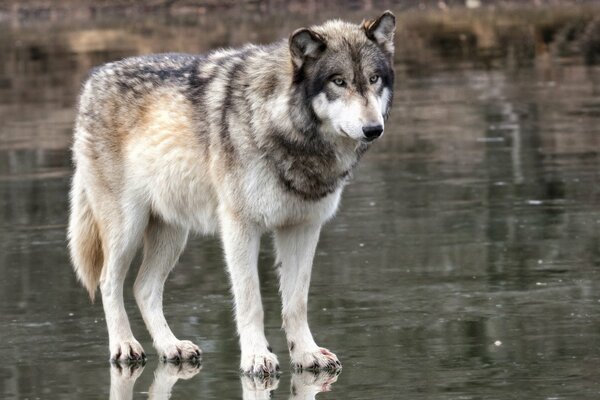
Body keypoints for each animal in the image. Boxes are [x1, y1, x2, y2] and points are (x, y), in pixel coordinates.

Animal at [68, 11, 396, 376]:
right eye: (339, 82)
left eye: (374, 79)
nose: (373, 129)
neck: (286, 129)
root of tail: (94, 78)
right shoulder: (240, 227)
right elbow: (251, 301)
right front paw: (256, 357)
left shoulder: (303, 228)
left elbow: (296, 302)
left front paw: (306, 354)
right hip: (127, 228)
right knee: (108, 282)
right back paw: (124, 346)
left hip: (172, 234)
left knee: (144, 288)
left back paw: (171, 347)